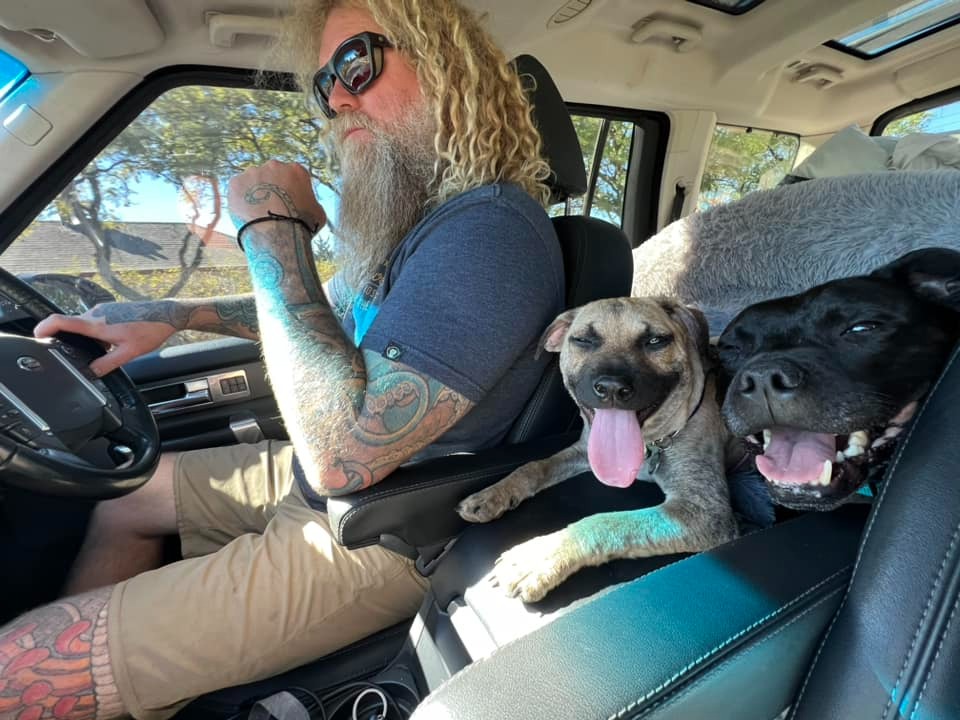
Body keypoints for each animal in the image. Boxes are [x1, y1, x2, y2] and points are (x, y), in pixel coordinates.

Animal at [456, 296, 736, 604]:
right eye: (583, 340)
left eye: (655, 341)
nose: (612, 388)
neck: (652, 442)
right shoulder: (584, 450)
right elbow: (534, 466)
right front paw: (492, 495)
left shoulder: (704, 511)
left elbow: (606, 521)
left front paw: (538, 558)